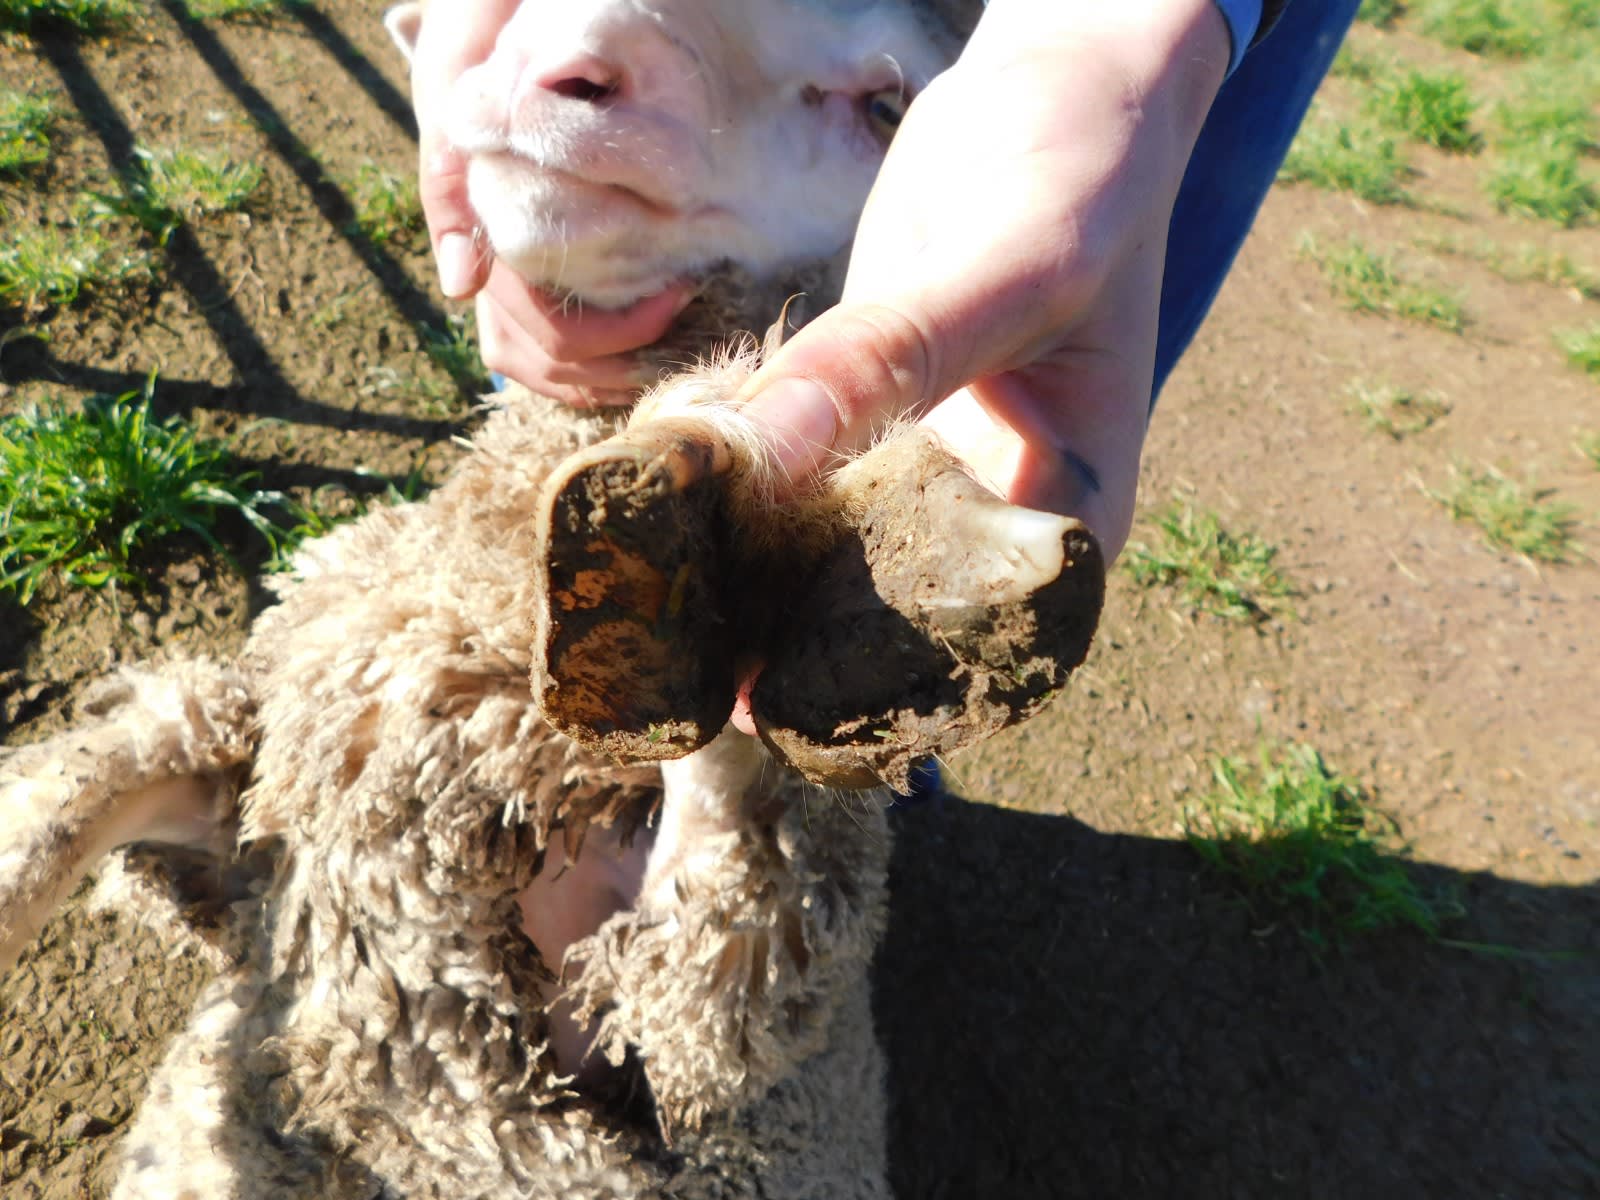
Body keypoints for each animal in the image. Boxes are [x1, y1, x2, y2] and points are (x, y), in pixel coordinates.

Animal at [0, 1, 1106, 1195]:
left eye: (885, 106)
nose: (563, 58)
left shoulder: (719, 1033)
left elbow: (730, 868)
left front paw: (791, 503)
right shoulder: (266, 768)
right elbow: (62, 800)